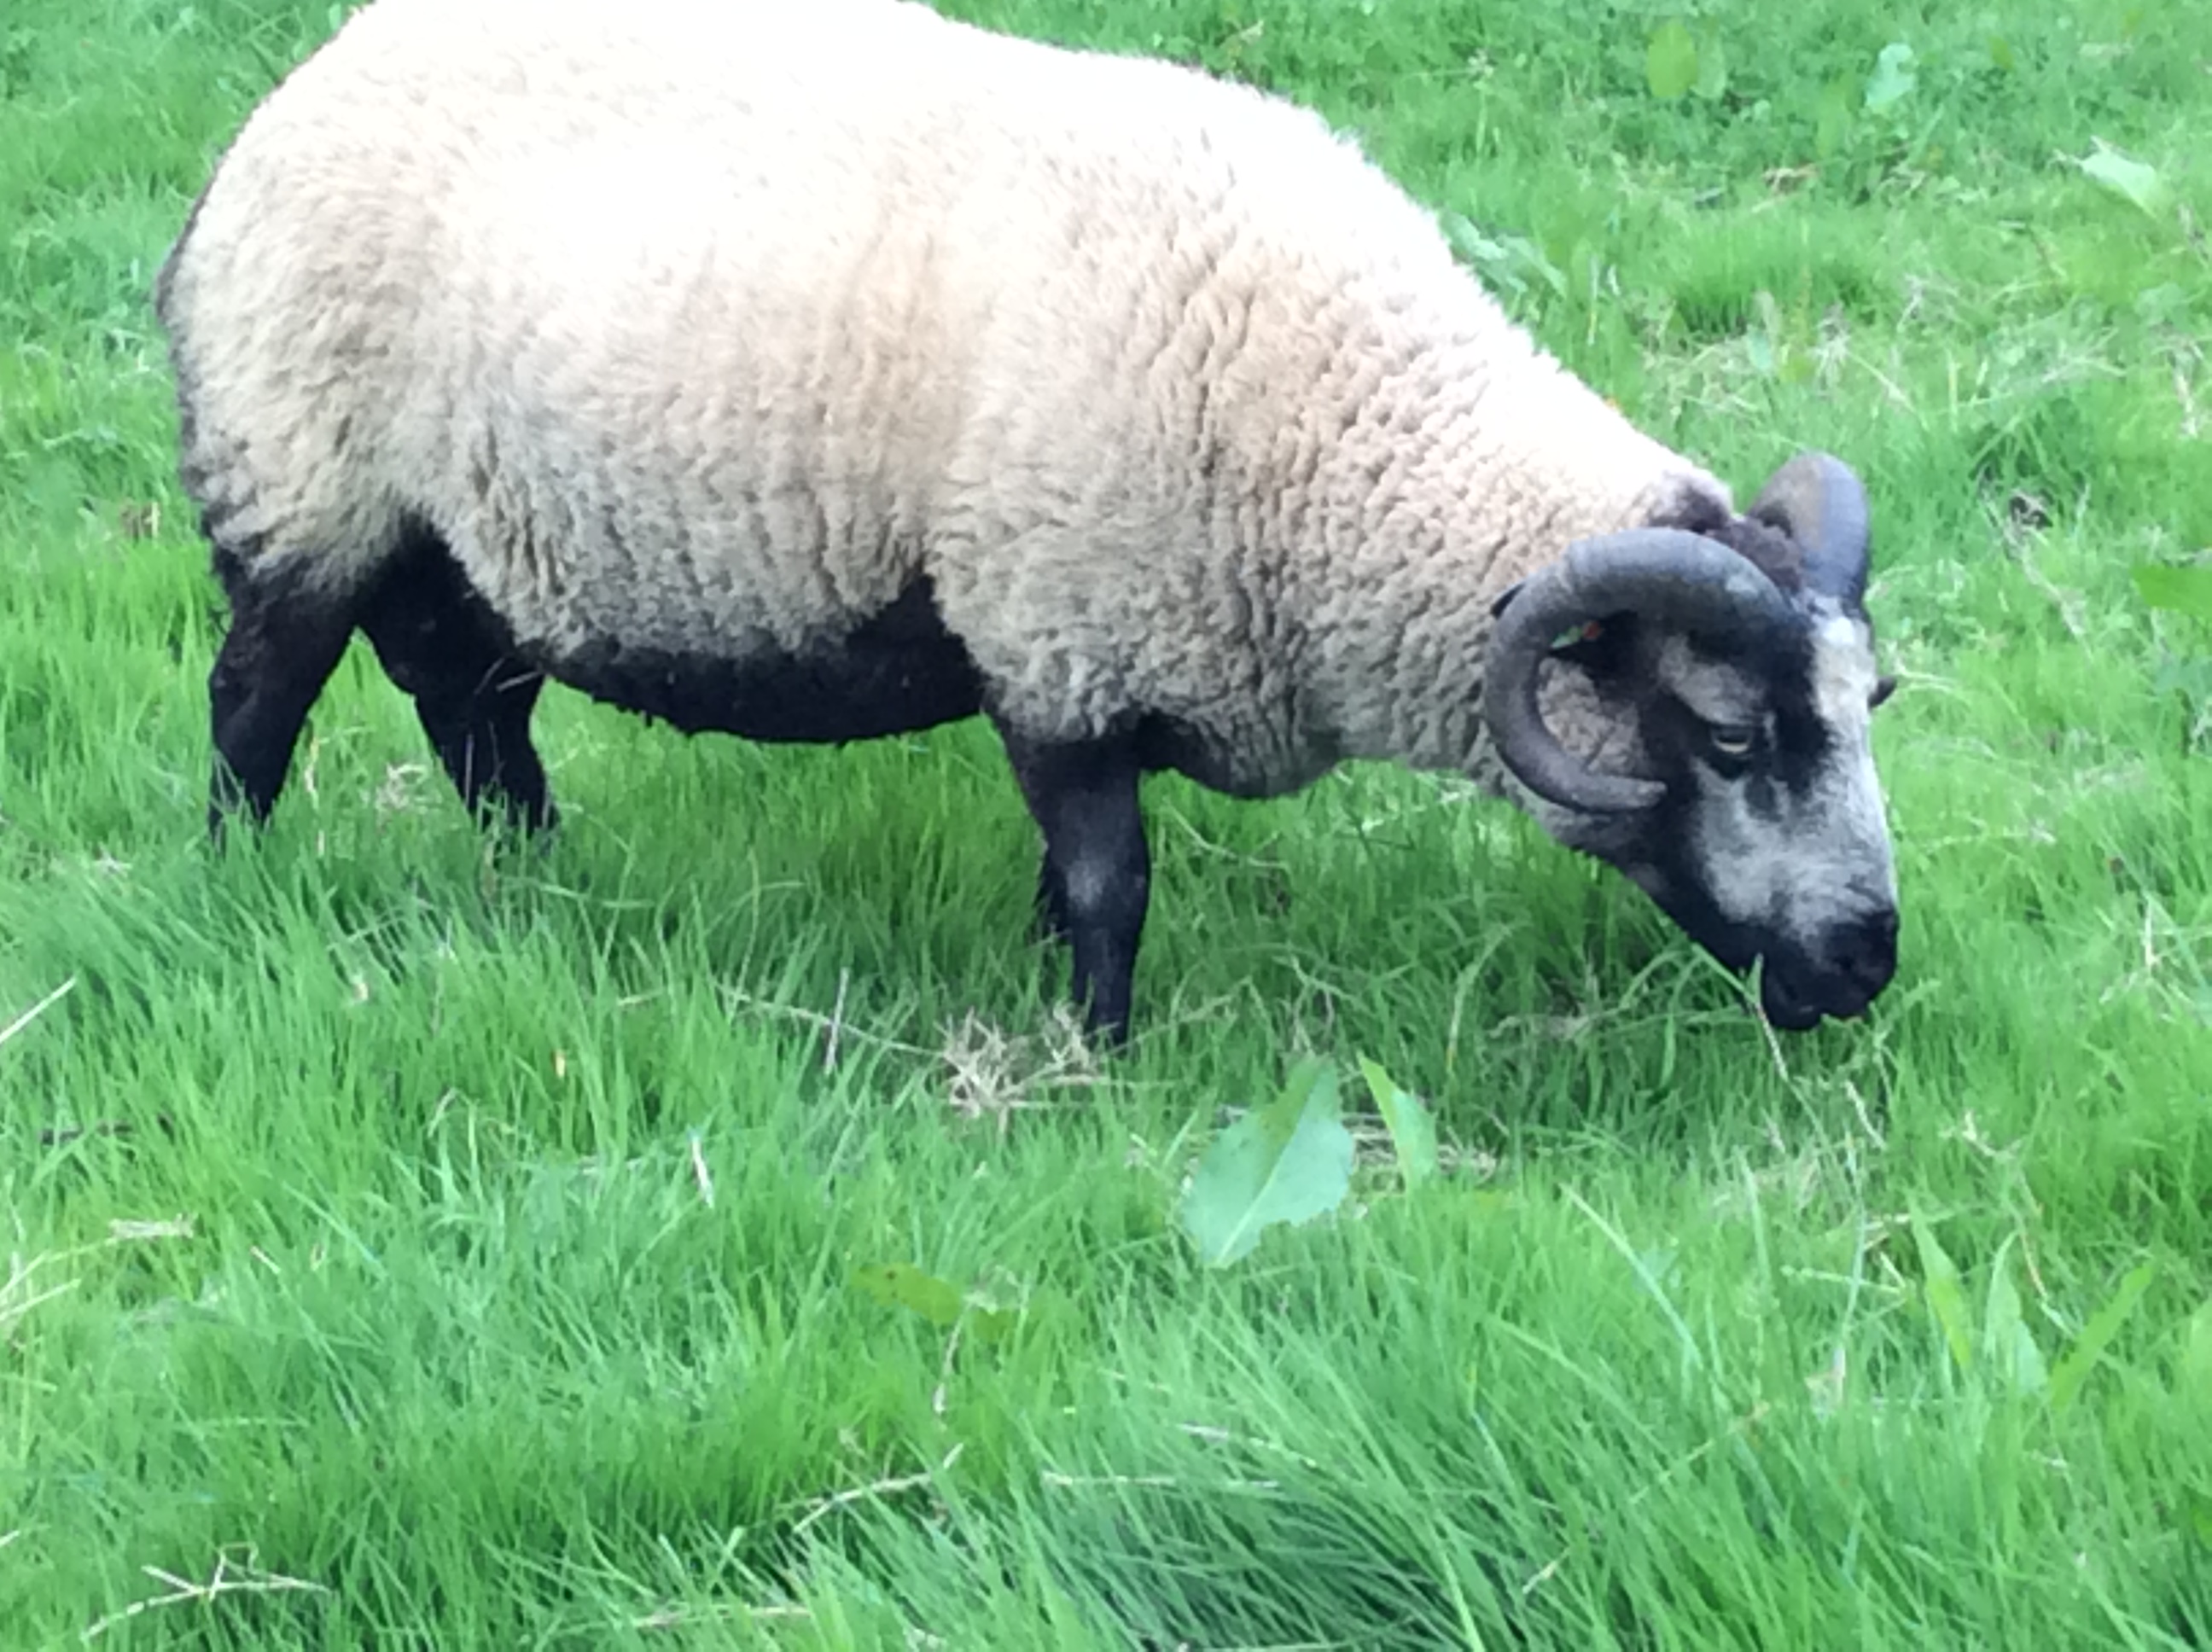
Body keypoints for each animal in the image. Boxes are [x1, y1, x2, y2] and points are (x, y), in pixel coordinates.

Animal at [151, 0, 1902, 1039]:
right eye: (1728, 737)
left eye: (1871, 702)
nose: (1869, 965)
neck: (1338, 433)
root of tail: (271, 117)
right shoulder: (1057, 640)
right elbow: (1111, 888)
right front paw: (1099, 1058)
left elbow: (1071, 881)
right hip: (305, 477)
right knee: (255, 704)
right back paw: (233, 886)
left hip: (469, 544)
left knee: (475, 716)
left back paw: (540, 889)